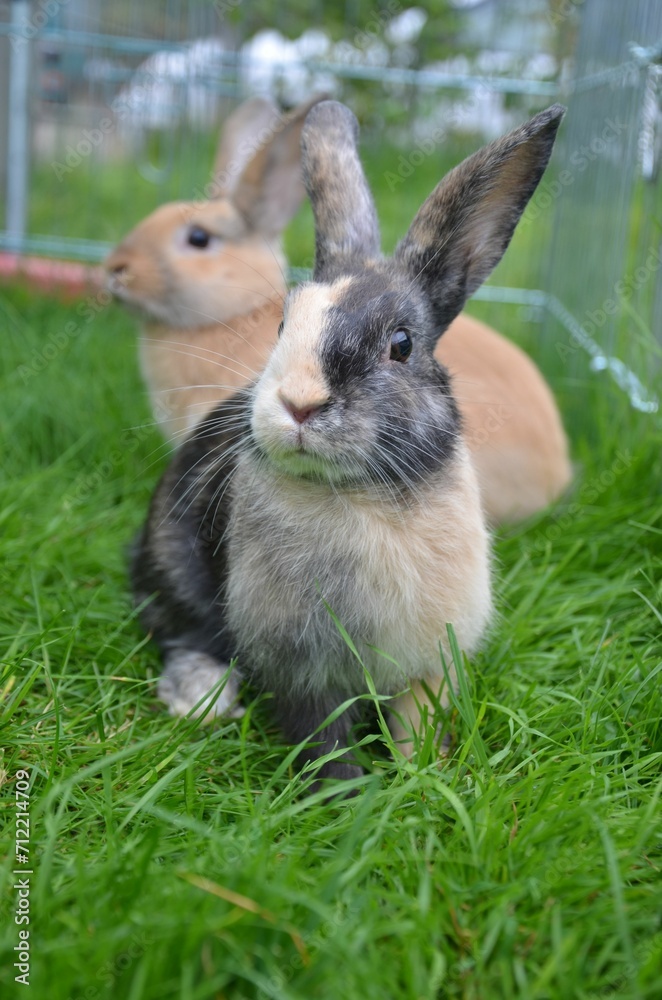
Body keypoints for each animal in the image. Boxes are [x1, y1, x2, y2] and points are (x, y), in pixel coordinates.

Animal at [134, 101, 564, 780]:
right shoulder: (306, 671)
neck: (363, 495)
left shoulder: (430, 661)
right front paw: (344, 793)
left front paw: (421, 776)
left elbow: (417, 721)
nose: (299, 403)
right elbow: (323, 736)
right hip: (174, 557)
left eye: (402, 344)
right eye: (283, 324)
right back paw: (201, 699)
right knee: (180, 627)